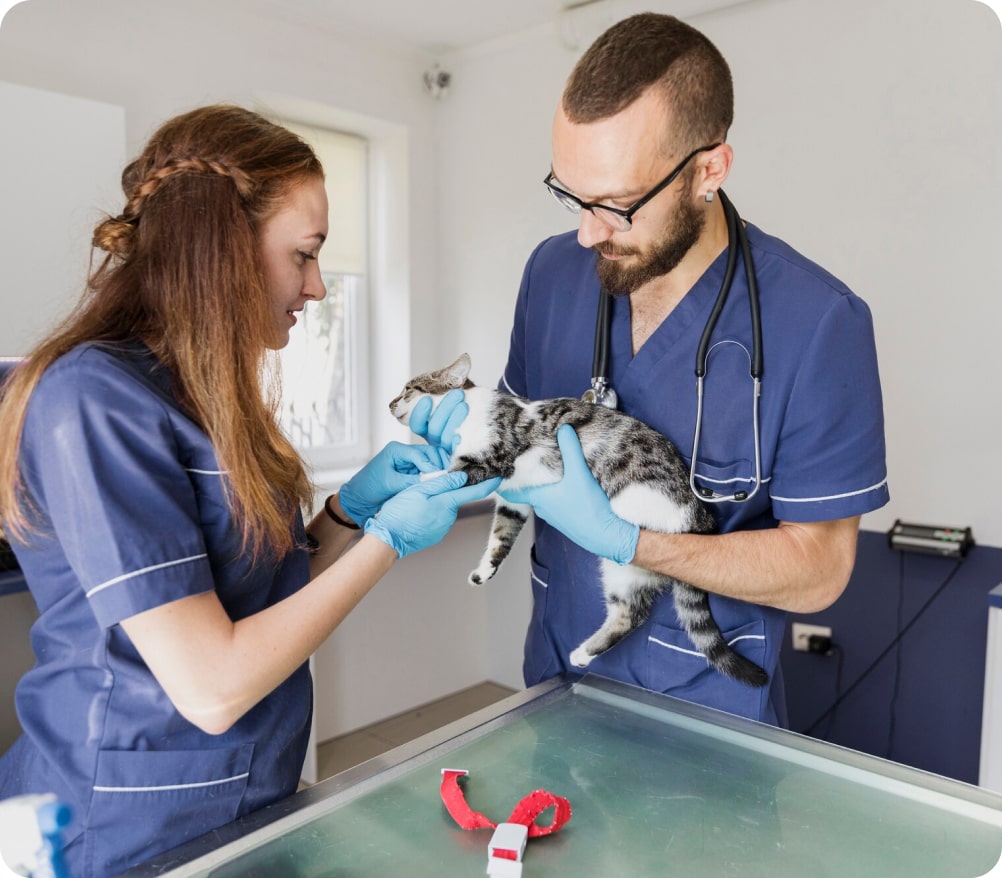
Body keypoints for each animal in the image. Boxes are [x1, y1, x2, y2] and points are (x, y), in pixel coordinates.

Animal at [388, 352, 765, 689]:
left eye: (409, 389)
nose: (390, 403)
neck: (469, 411)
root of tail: (699, 519)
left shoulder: (496, 459)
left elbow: (458, 472)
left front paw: (422, 479)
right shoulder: (515, 502)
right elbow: (501, 537)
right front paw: (485, 570)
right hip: (627, 572)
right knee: (629, 614)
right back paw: (584, 653)